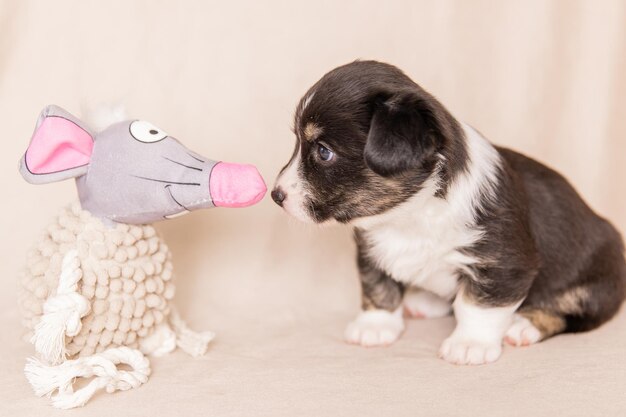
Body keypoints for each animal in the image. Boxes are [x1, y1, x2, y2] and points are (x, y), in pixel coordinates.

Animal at [272, 60, 624, 362]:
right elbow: (377, 286)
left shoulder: (504, 264)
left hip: (595, 285)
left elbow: (477, 306)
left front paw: (470, 344)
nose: (276, 195)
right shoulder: (370, 248)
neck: (410, 213)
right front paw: (374, 326)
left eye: (323, 152)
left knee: (573, 315)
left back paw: (524, 326)